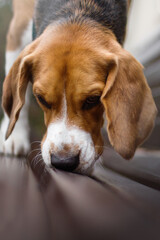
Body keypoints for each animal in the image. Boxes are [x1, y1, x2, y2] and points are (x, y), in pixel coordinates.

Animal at [0, 0, 158, 172]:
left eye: (93, 99)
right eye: (41, 99)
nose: (63, 161)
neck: (78, 10)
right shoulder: (18, 31)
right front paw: (14, 137)